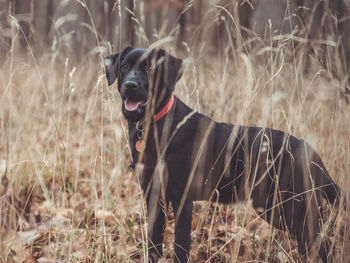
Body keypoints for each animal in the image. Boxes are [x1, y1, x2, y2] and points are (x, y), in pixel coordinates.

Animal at [104, 46, 342, 262]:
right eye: (124, 66)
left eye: (150, 67)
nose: (130, 85)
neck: (156, 126)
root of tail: (310, 151)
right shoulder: (153, 195)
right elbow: (154, 242)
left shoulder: (182, 198)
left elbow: (181, 247)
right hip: (276, 208)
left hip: (294, 207)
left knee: (322, 246)